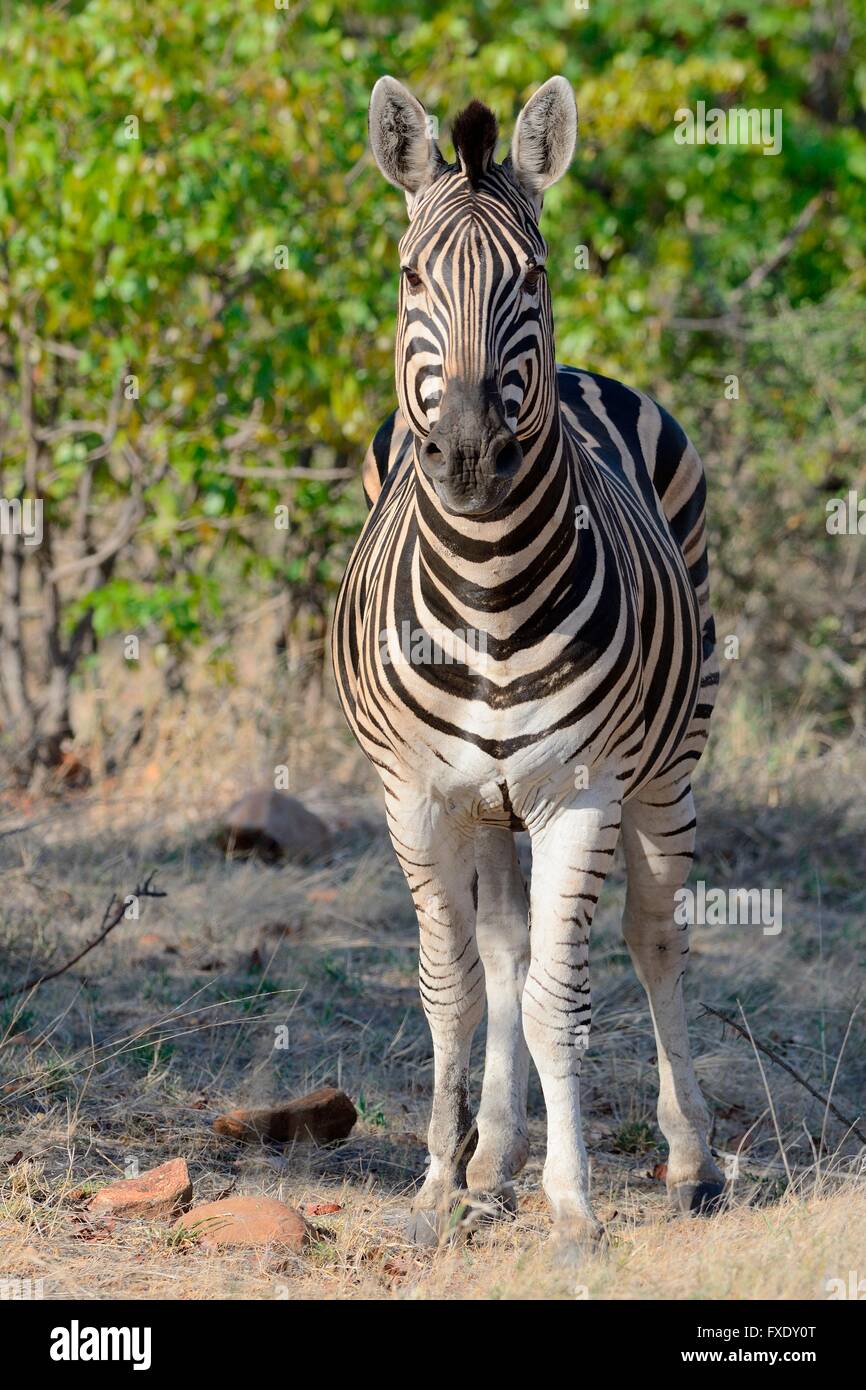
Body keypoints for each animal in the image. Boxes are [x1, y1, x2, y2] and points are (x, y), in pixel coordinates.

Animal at [332, 73, 722, 1251]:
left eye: (535, 278)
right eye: (411, 275)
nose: (466, 454)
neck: (488, 587)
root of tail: (591, 374)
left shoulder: (578, 794)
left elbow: (561, 999)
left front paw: (573, 1204)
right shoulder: (417, 797)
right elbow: (454, 987)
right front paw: (436, 1183)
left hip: (670, 762)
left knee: (652, 936)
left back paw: (689, 1160)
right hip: (486, 802)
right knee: (502, 952)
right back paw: (490, 1159)